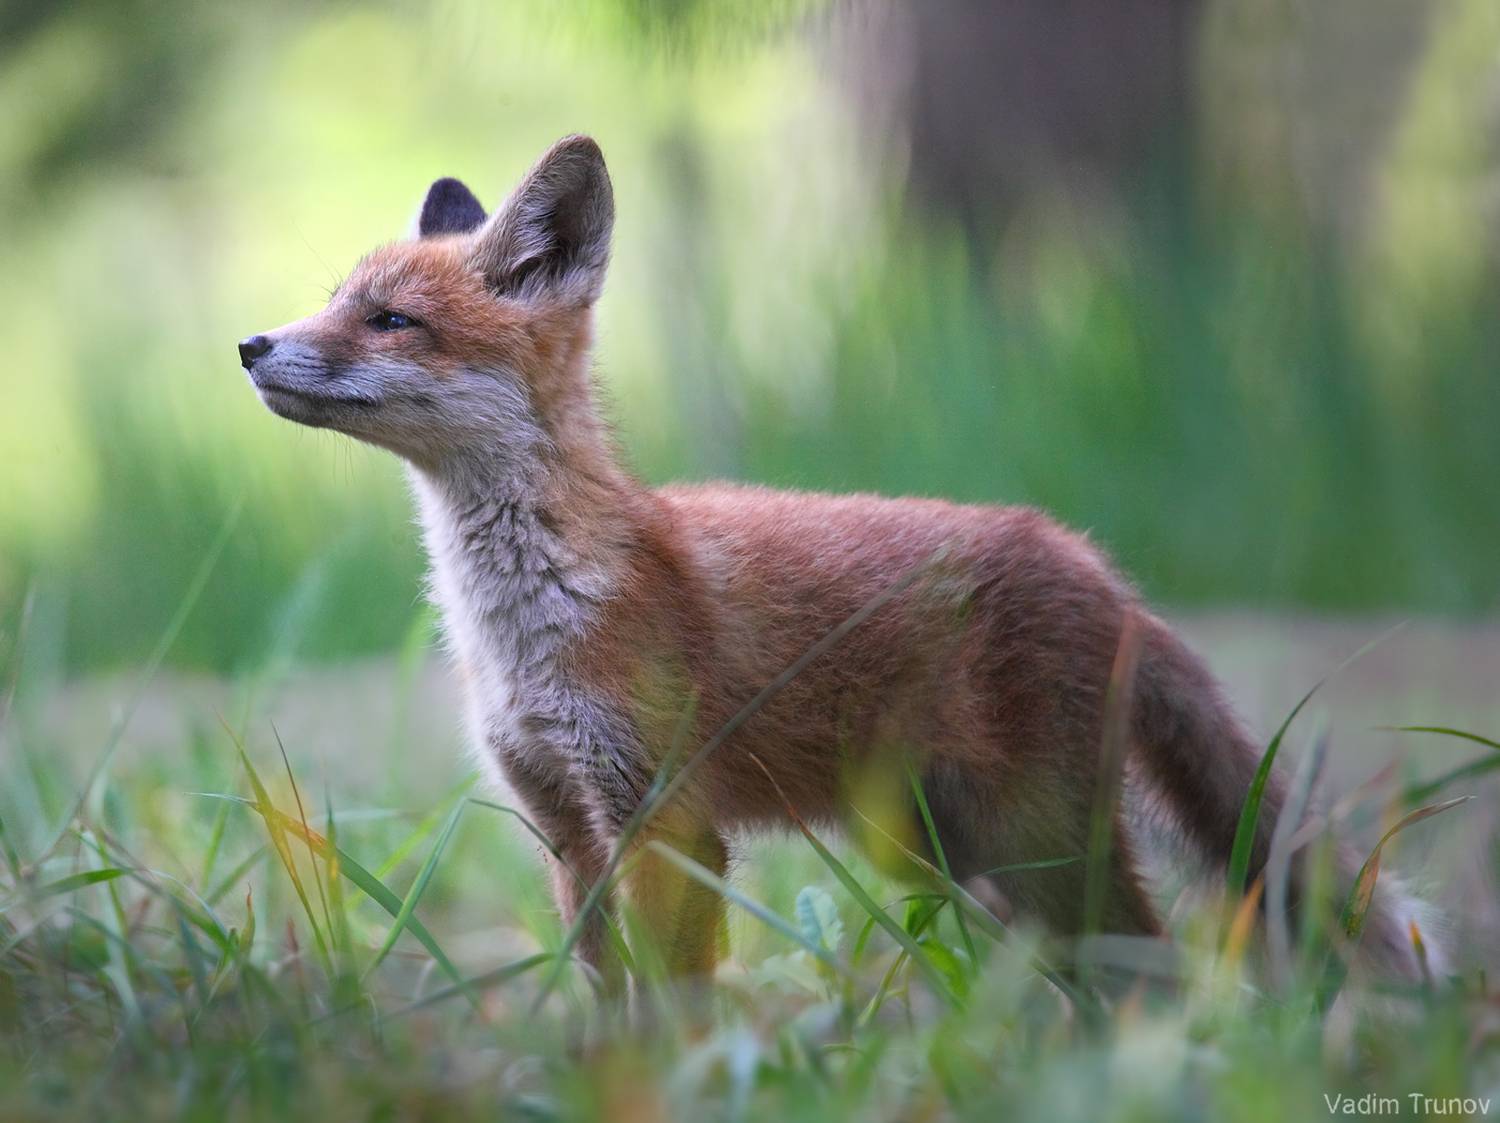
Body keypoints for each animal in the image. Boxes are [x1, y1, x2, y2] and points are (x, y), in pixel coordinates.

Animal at [238, 134, 1438, 996]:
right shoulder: (564, 826)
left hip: (1040, 845)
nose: (251, 345)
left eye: (393, 321)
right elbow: (609, 1013)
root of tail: (1095, 563)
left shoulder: (670, 819)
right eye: (337, 300)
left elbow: (679, 1011)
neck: (524, 626)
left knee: (1160, 978)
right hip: (965, 861)